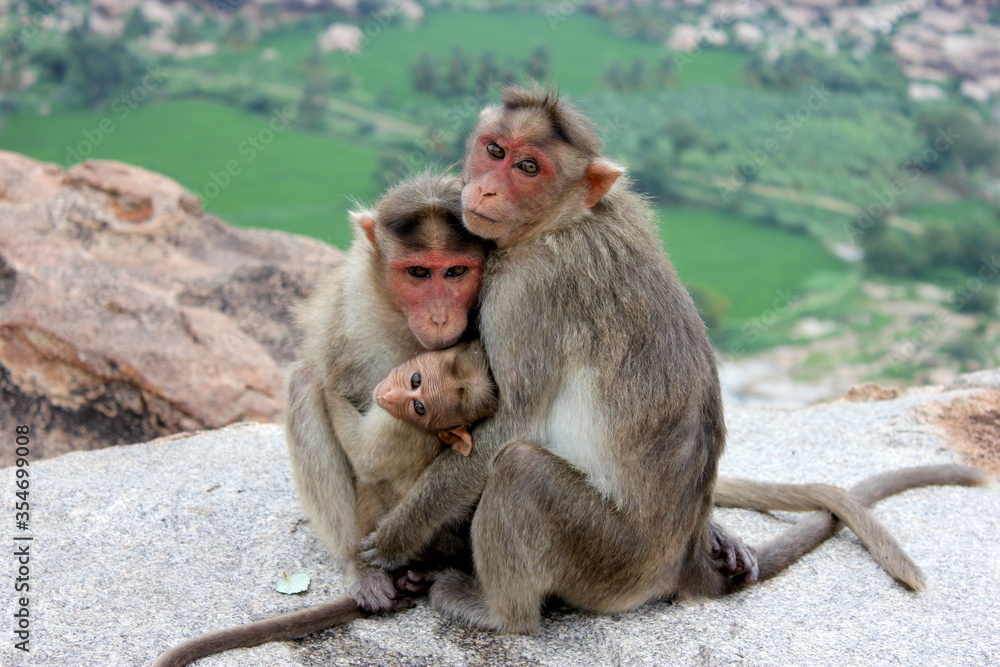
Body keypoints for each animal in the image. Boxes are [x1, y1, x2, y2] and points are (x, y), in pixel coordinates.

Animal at [352, 86, 992, 634]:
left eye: (529, 168)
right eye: (495, 150)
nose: (484, 191)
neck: (569, 220)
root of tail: (676, 566)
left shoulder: (528, 290)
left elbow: (510, 421)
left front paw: (396, 536)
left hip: (606, 558)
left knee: (520, 470)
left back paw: (495, 611)